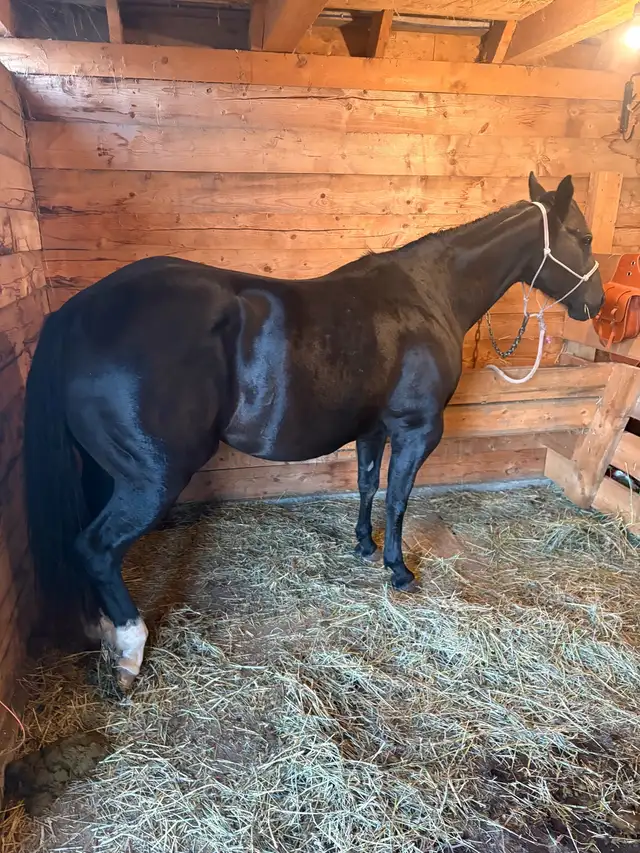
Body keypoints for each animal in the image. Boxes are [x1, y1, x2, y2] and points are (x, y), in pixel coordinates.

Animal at [24, 173, 603, 689]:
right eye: (585, 236)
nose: (595, 304)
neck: (425, 294)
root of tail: (78, 313)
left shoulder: (373, 428)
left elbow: (368, 485)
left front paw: (364, 546)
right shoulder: (416, 429)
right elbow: (398, 499)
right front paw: (398, 569)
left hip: (105, 473)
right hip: (151, 479)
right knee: (96, 549)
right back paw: (129, 649)